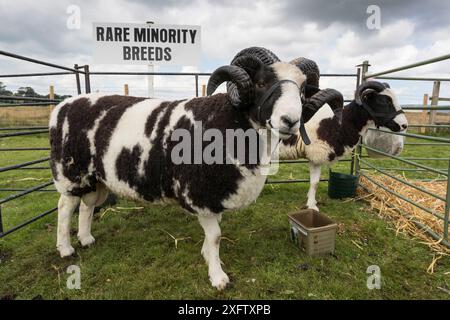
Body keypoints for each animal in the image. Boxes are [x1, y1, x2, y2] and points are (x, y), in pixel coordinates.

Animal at [50, 48, 310, 292]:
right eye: (261, 83)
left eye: (302, 88)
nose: (290, 121)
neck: (230, 123)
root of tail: (61, 106)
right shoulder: (200, 192)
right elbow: (215, 236)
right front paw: (218, 277)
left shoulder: (213, 195)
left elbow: (213, 233)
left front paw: (207, 256)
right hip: (71, 172)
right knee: (65, 207)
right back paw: (66, 249)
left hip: (95, 178)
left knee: (87, 206)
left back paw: (86, 239)